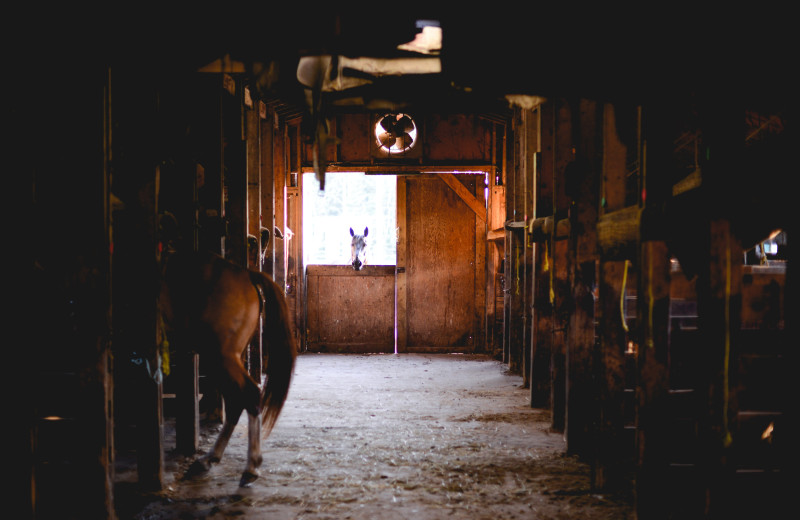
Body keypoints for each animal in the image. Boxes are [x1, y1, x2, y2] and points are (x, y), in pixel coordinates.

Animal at [158, 250, 296, 486]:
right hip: (217, 359)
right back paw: (209, 459)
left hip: (220, 356)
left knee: (248, 395)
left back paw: (250, 467)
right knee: (235, 401)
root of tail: (245, 274)